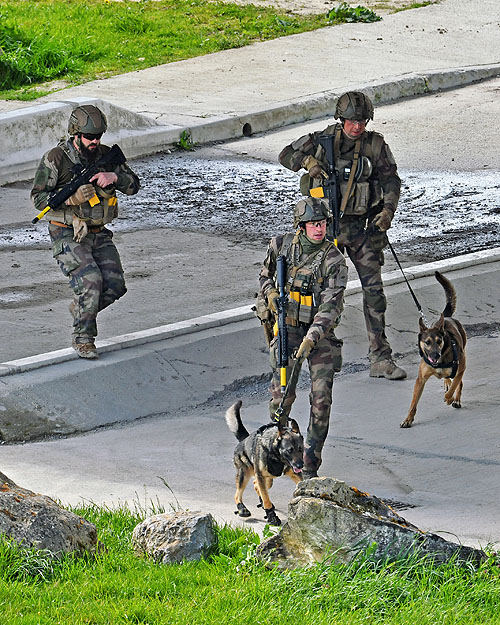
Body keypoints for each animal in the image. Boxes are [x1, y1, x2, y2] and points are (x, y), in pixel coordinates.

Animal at [400, 270, 466, 426]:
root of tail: (446, 317)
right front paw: (408, 419)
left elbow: (455, 386)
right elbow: (413, 402)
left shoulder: (461, 367)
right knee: (450, 379)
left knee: (459, 383)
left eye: (439, 341)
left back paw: (456, 399)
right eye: (427, 342)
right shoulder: (420, 380)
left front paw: (449, 398)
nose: (435, 356)